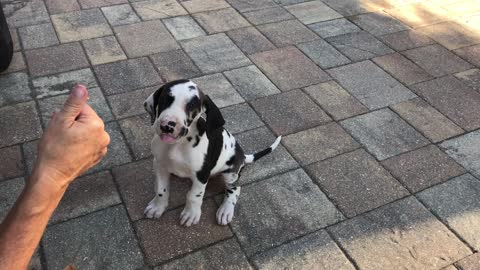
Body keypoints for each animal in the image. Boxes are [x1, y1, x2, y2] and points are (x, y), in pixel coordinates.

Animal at [144, 79, 284, 226]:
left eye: (191, 106)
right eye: (165, 99)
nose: (167, 126)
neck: (177, 145)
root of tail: (243, 156)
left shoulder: (201, 174)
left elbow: (194, 196)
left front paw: (191, 214)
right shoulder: (159, 165)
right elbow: (161, 189)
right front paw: (157, 207)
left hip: (230, 174)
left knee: (235, 189)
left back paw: (226, 210)